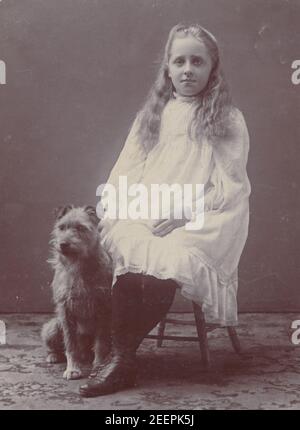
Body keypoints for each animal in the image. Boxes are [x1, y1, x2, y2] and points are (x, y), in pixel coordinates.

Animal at [41, 205, 112, 380]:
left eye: (80, 228)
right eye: (61, 227)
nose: (63, 244)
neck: (78, 265)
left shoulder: (102, 309)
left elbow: (100, 343)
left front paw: (99, 366)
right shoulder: (65, 310)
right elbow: (70, 345)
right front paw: (73, 369)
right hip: (53, 326)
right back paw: (53, 355)